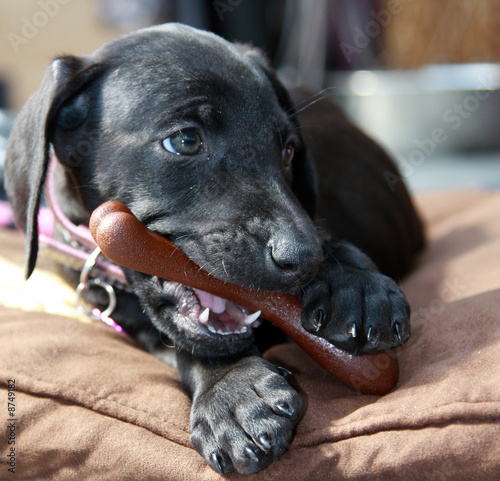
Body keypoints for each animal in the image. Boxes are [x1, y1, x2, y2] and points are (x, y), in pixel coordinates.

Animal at [5, 22, 424, 472]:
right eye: (185, 140)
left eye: (288, 151)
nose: (305, 258)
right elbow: (191, 347)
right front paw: (234, 393)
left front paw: (356, 283)